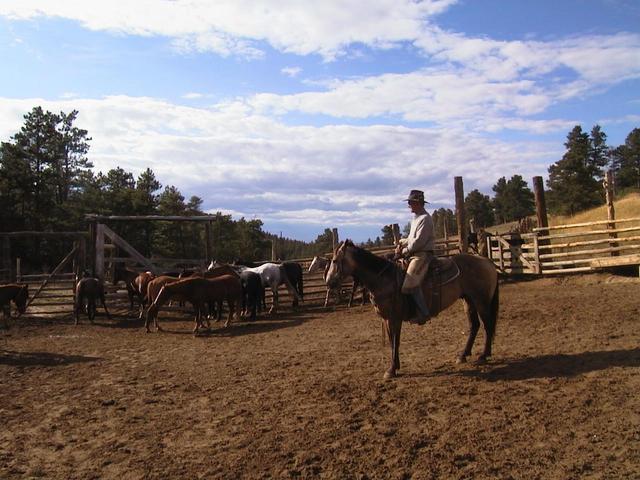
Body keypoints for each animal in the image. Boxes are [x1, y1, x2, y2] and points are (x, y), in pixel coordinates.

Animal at [324, 240, 500, 378]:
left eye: (335, 260)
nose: (328, 282)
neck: (384, 279)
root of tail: (486, 261)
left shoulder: (393, 318)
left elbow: (395, 341)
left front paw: (391, 370)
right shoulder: (388, 319)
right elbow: (393, 341)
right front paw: (395, 366)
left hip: (481, 301)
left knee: (487, 325)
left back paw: (484, 355)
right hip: (468, 301)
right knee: (474, 325)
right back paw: (463, 355)